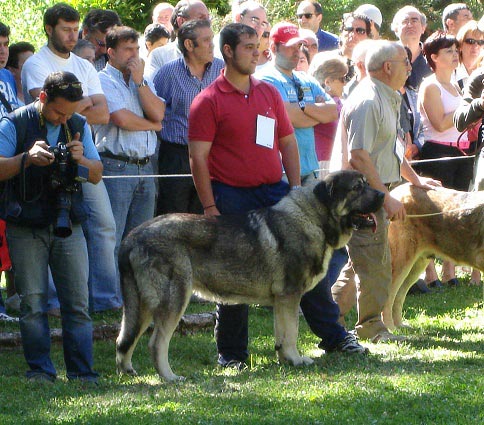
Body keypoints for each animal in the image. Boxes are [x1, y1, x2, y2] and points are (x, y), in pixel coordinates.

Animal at [115, 170, 384, 380]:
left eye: (366, 183)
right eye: (357, 187)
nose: (382, 194)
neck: (315, 218)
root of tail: (132, 237)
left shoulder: (281, 302)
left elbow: (282, 333)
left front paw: (286, 360)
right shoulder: (290, 296)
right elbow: (292, 332)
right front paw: (297, 360)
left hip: (141, 305)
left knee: (124, 341)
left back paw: (129, 372)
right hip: (174, 300)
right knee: (156, 343)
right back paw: (170, 377)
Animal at [382, 183, 484, 328]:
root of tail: (394, 192)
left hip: (416, 265)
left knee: (399, 296)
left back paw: (400, 326)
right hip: (401, 260)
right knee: (389, 297)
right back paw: (389, 328)